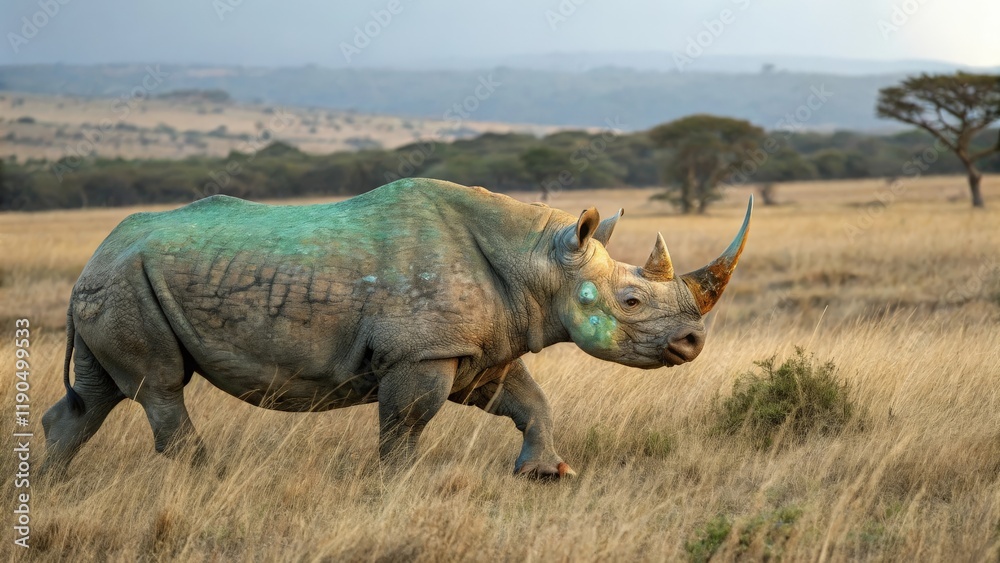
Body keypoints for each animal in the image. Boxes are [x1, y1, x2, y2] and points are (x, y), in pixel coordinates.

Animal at [42, 178, 751, 478]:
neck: (538, 260)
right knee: (160, 386)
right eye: (630, 301)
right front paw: (398, 484)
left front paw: (547, 474)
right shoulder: (423, 351)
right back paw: (205, 480)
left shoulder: (480, 347)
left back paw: (52, 487)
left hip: (114, 283)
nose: (692, 344)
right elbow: (406, 422)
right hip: (125, 285)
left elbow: (531, 402)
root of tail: (92, 259)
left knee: (100, 395)